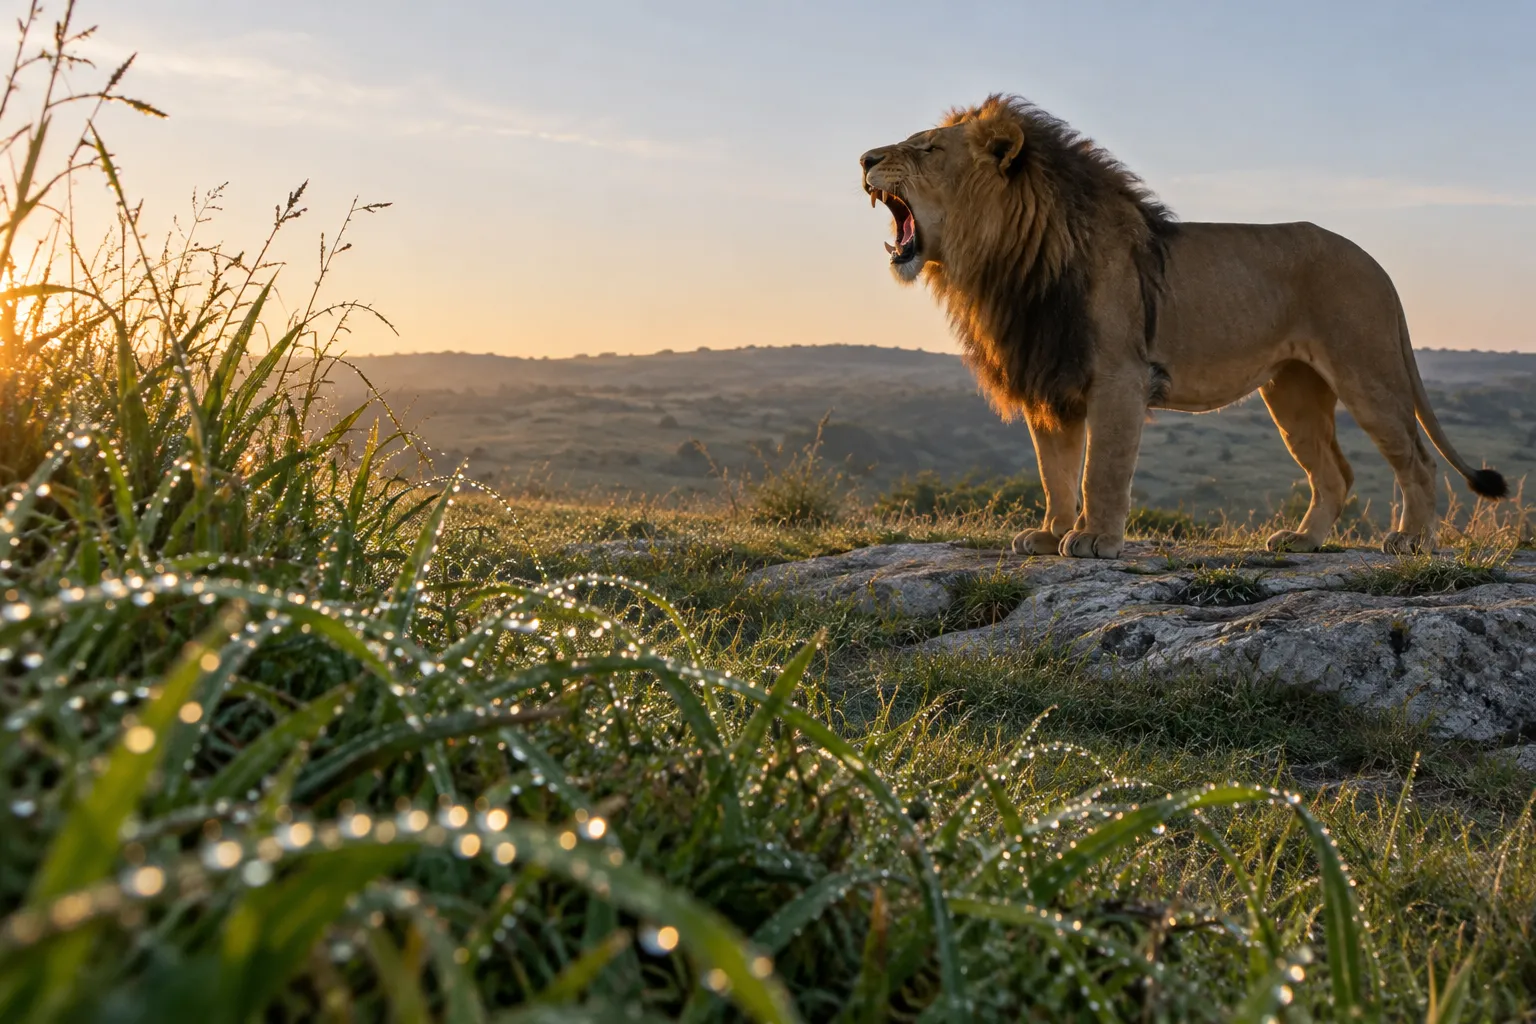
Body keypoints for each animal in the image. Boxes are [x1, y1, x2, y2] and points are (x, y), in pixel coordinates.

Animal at [858, 94, 1507, 558]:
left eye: (927, 149)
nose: (864, 159)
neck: (1006, 266)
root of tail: (1377, 265)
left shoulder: (1118, 377)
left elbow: (1102, 469)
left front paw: (1094, 540)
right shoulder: (1051, 379)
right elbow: (1055, 472)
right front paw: (1049, 534)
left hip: (1367, 371)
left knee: (1417, 460)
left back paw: (1412, 540)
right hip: (1293, 391)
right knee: (1336, 473)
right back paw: (1303, 541)